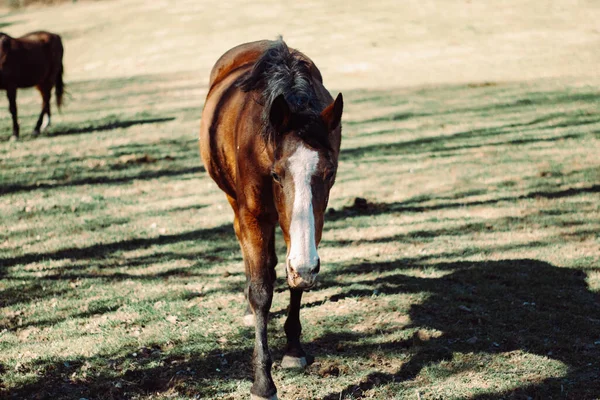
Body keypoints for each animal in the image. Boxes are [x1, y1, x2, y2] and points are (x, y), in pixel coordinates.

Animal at [200, 38, 342, 400]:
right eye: (277, 174)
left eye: (329, 173)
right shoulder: (253, 217)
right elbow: (262, 290)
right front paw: (263, 383)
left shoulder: (311, 224)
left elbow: (295, 279)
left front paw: (293, 349)